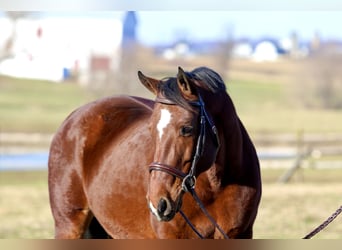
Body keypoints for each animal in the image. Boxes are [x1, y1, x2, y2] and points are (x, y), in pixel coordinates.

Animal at [48, 66, 262, 238]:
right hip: (69, 226)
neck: (216, 185)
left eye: (186, 129)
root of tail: (74, 117)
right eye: (151, 128)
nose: (158, 203)